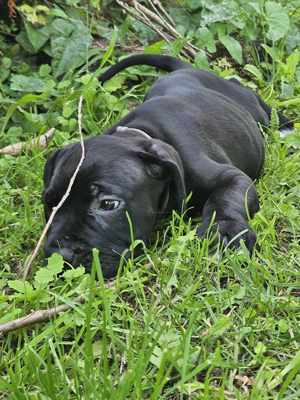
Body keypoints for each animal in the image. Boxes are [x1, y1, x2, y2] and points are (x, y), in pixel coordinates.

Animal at [42, 54, 290, 278]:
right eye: (49, 203)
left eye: (108, 204)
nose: (61, 254)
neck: (142, 133)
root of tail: (186, 69)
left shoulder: (231, 177)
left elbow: (225, 199)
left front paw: (224, 230)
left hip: (250, 104)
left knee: (265, 109)